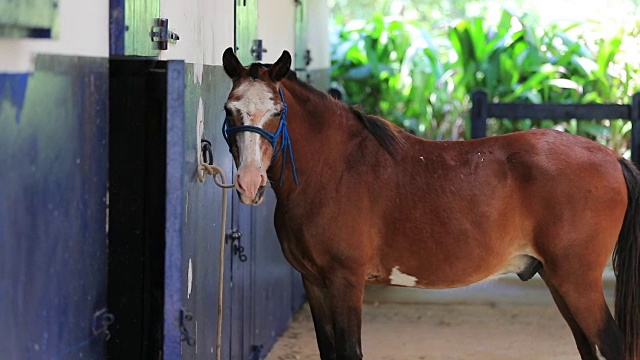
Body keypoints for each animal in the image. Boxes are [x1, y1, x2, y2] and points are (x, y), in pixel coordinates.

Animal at [222, 48, 640, 360]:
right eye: (230, 109)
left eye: (277, 112)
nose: (249, 182)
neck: (335, 168)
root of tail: (612, 157)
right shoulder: (314, 282)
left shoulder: (345, 281)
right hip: (557, 278)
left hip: (577, 280)